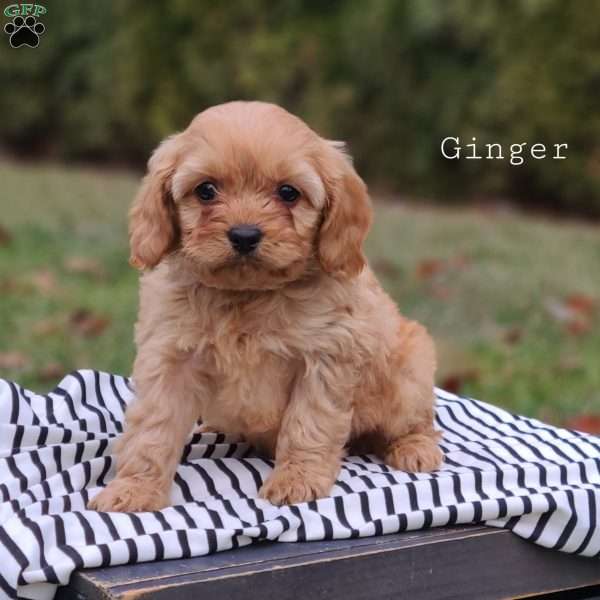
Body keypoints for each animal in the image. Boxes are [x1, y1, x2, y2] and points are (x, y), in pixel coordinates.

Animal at [90, 99, 446, 510]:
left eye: (288, 193)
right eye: (206, 190)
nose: (244, 235)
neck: (249, 294)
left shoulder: (325, 359)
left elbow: (308, 424)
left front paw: (297, 479)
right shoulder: (169, 356)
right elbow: (153, 428)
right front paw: (135, 489)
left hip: (410, 370)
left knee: (418, 422)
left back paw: (415, 449)